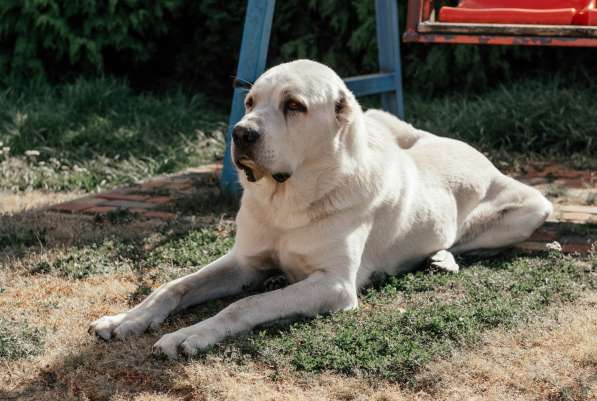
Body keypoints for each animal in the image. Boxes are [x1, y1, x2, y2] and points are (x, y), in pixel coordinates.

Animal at [91, 61, 552, 358]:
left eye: (294, 105)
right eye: (250, 102)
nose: (240, 133)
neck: (289, 199)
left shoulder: (333, 284)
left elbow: (245, 305)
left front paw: (190, 336)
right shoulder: (244, 263)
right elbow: (174, 286)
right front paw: (125, 319)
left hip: (532, 209)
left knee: (475, 241)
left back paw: (445, 257)